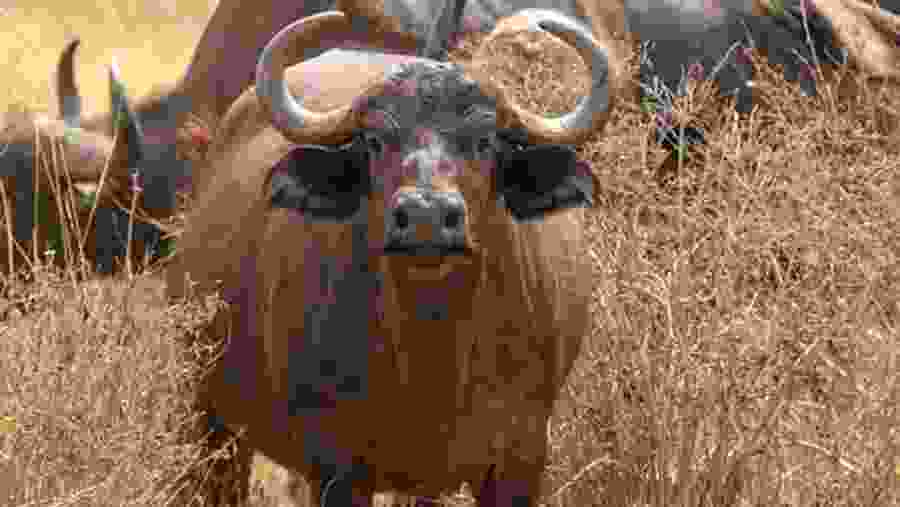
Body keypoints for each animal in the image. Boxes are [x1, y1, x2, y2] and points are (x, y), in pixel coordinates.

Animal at [167, 2, 602, 505]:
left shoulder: (521, 459)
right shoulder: (337, 467)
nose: (426, 216)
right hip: (211, 418)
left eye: (484, 140)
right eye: (375, 141)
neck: (432, 350)